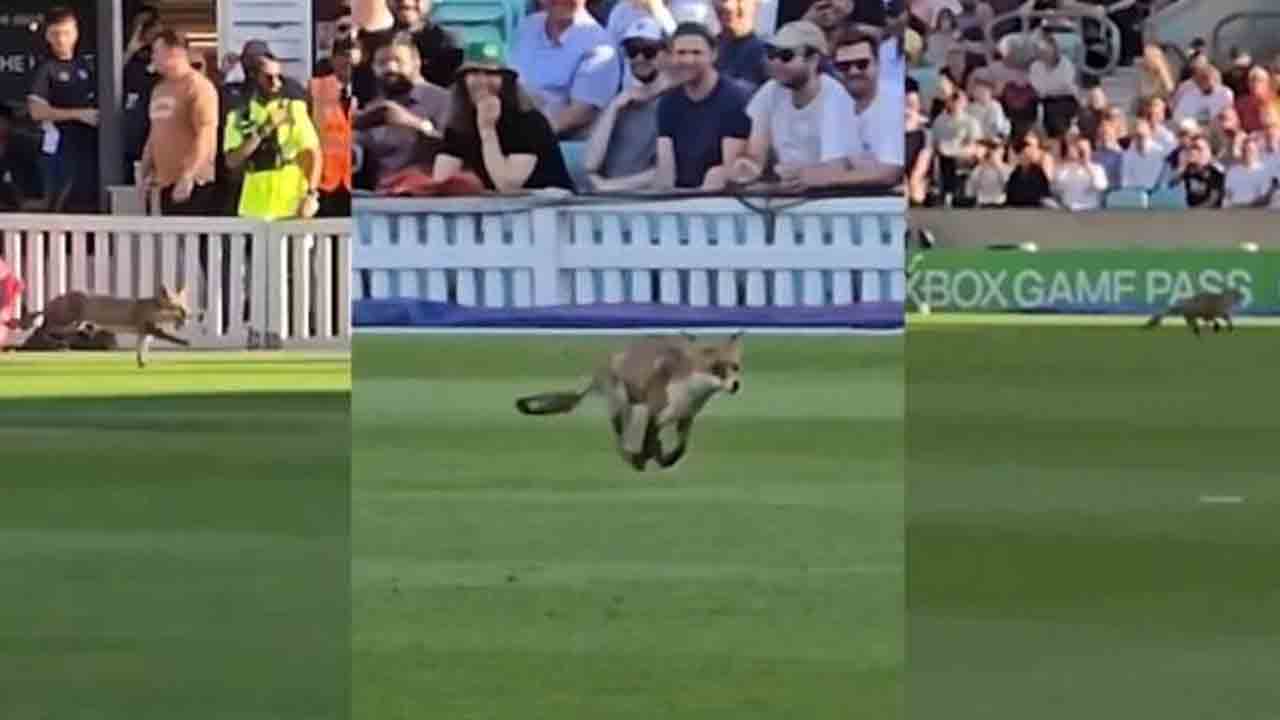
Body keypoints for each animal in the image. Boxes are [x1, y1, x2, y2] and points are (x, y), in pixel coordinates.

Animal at [6, 286, 192, 367]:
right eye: (181, 310)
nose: (190, 316)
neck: (152, 309)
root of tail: (50, 301)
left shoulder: (144, 333)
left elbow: (141, 351)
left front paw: (142, 363)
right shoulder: (149, 328)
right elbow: (171, 337)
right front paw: (185, 342)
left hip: (73, 325)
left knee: (44, 327)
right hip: (67, 323)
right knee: (43, 328)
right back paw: (59, 344)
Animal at [514, 332, 744, 471]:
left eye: (735, 367)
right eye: (716, 368)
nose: (735, 385)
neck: (689, 391)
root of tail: (603, 365)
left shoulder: (686, 417)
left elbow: (679, 449)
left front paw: (665, 459)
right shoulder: (655, 411)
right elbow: (649, 442)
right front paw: (647, 458)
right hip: (621, 405)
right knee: (620, 438)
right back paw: (633, 458)